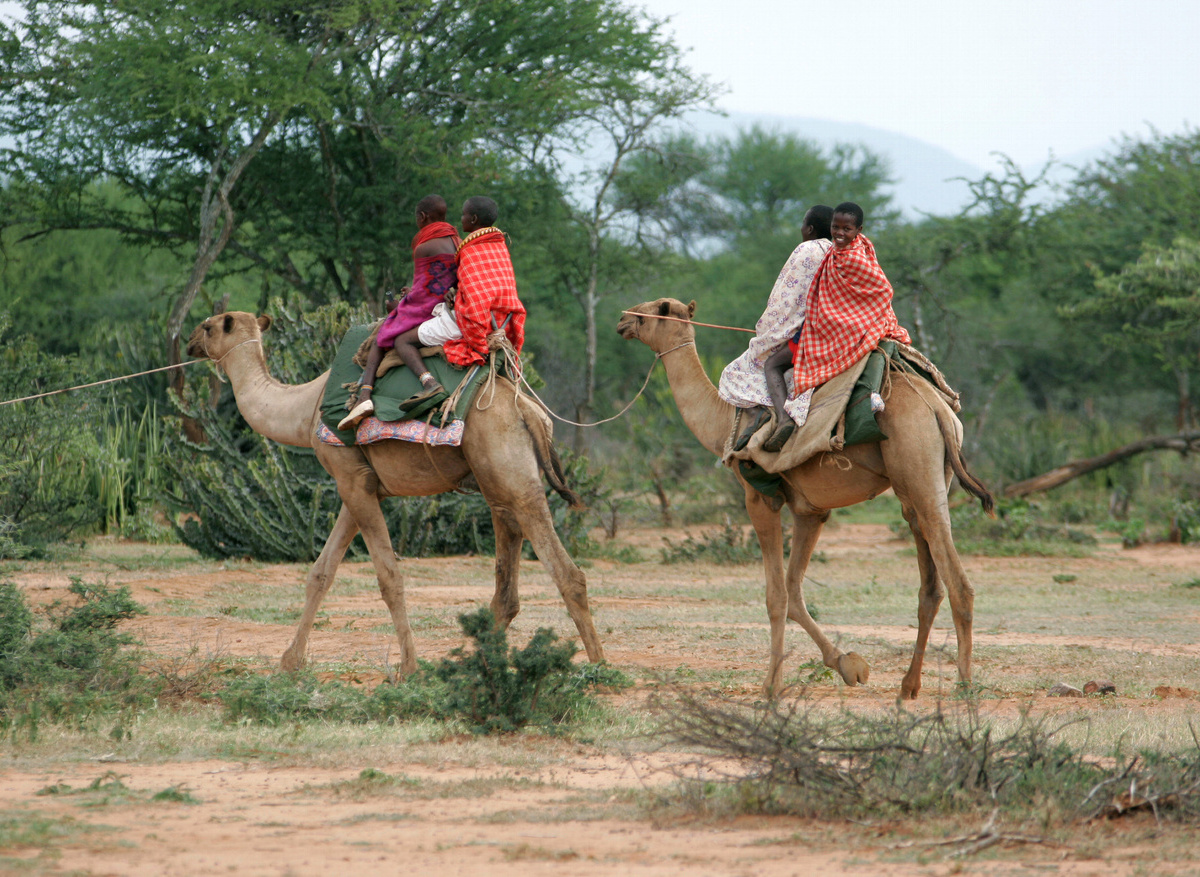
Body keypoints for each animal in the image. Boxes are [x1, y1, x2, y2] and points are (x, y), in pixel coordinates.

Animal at [186, 311, 603, 675]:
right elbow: (321, 572)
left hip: (513, 476)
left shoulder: (350, 478)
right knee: (507, 588)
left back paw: (598, 668)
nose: (188, 342)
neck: (304, 410)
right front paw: (290, 662)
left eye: (208, 326)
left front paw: (408, 668)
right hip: (497, 484)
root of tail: (529, 413)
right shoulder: (361, 482)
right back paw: (477, 666)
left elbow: (389, 577)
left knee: (567, 572)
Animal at [617, 298, 993, 699]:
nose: (622, 320)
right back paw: (909, 685)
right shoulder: (810, 510)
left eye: (650, 311)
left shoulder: (759, 497)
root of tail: (937, 408)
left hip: (916, 465)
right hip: (925, 483)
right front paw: (849, 665)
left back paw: (964, 685)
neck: (723, 423)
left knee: (958, 584)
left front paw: (771, 685)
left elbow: (776, 595)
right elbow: (795, 592)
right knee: (930, 584)